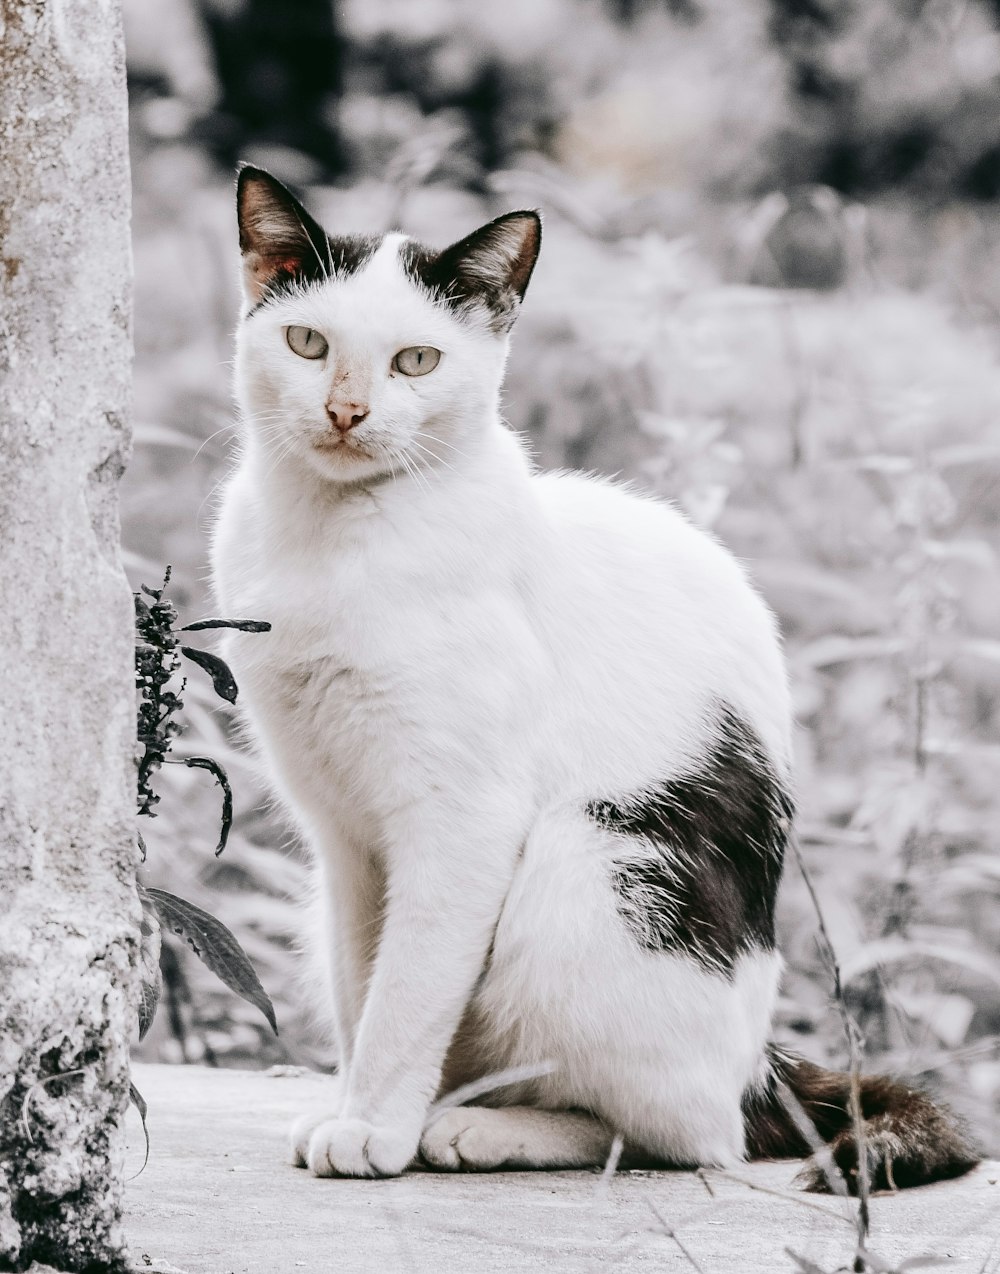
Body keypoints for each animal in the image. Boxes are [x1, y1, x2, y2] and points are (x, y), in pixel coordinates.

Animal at [210, 164, 973, 1187]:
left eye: (417, 361)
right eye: (307, 343)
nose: (345, 411)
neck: (332, 541)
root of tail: (758, 1067)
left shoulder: (464, 817)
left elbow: (408, 994)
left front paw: (373, 1128)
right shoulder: (344, 837)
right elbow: (364, 983)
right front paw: (356, 1108)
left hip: (587, 869)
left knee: (682, 1136)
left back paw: (483, 1129)